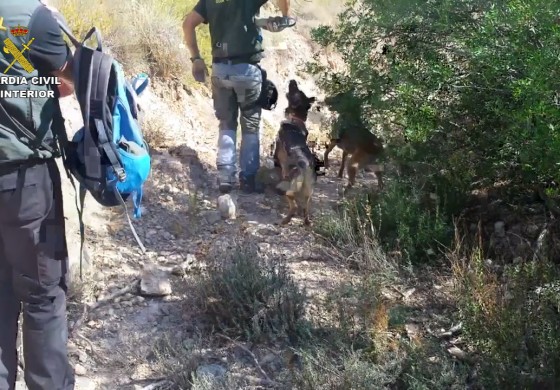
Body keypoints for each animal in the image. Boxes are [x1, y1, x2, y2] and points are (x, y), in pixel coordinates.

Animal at [274, 79, 318, 225]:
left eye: (296, 91)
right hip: (309, 191)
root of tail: (304, 167)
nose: (293, 80)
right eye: (300, 91)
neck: (295, 119)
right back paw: (306, 221)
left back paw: (286, 219)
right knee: (305, 208)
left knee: (293, 206)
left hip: (290, 188)